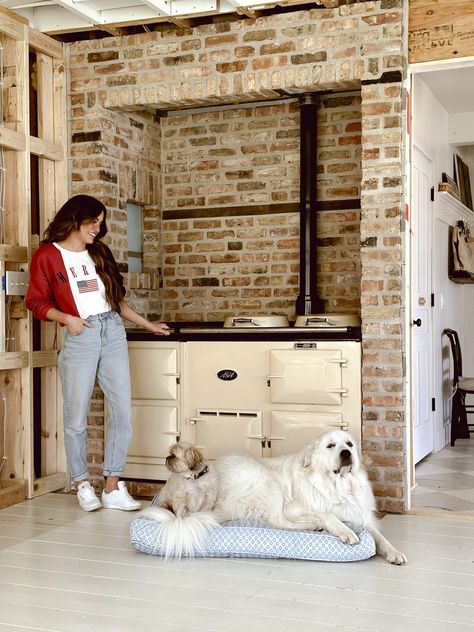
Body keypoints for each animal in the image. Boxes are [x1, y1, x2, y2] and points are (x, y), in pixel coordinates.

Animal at [143, 430, 408, 564]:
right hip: (268, 484)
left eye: (349, 444)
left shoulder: (360, 515)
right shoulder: (297, 507)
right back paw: (312, 526)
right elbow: (327, 515)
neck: (336, 486)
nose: (346, 453)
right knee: (279, 522)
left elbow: (379, 536)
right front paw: (344, 531)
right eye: (331, 446)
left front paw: (394, 552)